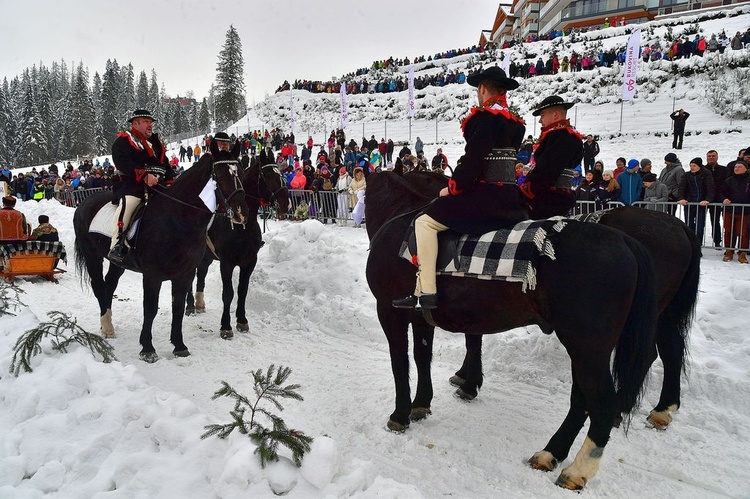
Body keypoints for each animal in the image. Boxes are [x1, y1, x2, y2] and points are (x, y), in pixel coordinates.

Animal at [73, 141, 250, 364]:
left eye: (241, 172)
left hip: (117, 262)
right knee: (98, 285)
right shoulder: (152, 275)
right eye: (221, 174)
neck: (177, 219)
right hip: (92, 256)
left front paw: (179, 345)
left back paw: (109, 324)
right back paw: (106, 326)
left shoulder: (185, 274)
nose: (241, 213)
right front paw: (147, 348)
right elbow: (150, 308)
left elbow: (178, 307)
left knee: (109, 284)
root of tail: (83, 204)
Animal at [187, 160, 290, 340]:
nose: (286, 203)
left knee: (201, 274)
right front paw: (226, 327)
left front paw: (242, 321)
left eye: (281, 174)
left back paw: (199, 303)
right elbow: (228, 293)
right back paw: (190, 305)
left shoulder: (249, 262)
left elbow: (242, 291)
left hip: (206, 257)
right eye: (269, 175)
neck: (242, 226)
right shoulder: (226, 263)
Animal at [368, 171, 660, 488]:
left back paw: (576, 471)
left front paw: (400, 414)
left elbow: (400, 363)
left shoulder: (390, 312)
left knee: (602, 405)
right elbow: (422, 358)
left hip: (587, 350)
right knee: (580, 401)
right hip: (584, 351)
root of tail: (626, 241)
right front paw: (421, 404)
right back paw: (550, 453)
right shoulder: (421, 317)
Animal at [450, 205, 704, 432]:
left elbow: (472, 337)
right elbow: (472, 335)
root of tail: (679, 226)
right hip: (662, 314)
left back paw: (622, 407)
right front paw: (464, 376)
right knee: (671, 349)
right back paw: (662, 409)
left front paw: (468, 381)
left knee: (650, 354)